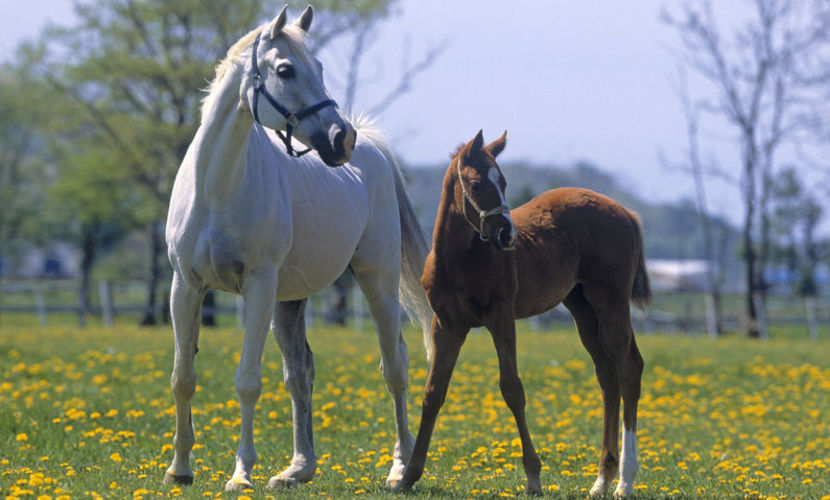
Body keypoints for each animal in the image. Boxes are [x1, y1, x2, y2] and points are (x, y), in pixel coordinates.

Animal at [165, 6, 432, 492]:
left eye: (321, 68)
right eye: (286, 69)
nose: (341, 138)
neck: (217, 187)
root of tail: (372, 149)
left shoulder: (258, 287)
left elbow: (248, 380)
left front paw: (241, 475)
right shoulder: (185, 288)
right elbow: (183, 377)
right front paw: (179, 469)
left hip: (378, 284)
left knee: (395, 367)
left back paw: (401, 469)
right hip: (288, 302)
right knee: (300, 373)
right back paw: (297, 469)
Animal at [394, 131, 652, 498]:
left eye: (503, 181)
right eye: (475, 184)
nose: (508, 235)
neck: (459, 259)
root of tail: (626, 212)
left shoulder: (501, 317)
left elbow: (512, 388)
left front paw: (533, 476)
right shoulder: (446, 325)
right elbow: (433, 392)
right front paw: (408, 476)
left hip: (611, 301)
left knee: (629, 367)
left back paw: (625, 481)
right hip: (582, 307)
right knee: (607, 374)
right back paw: (601, 480)